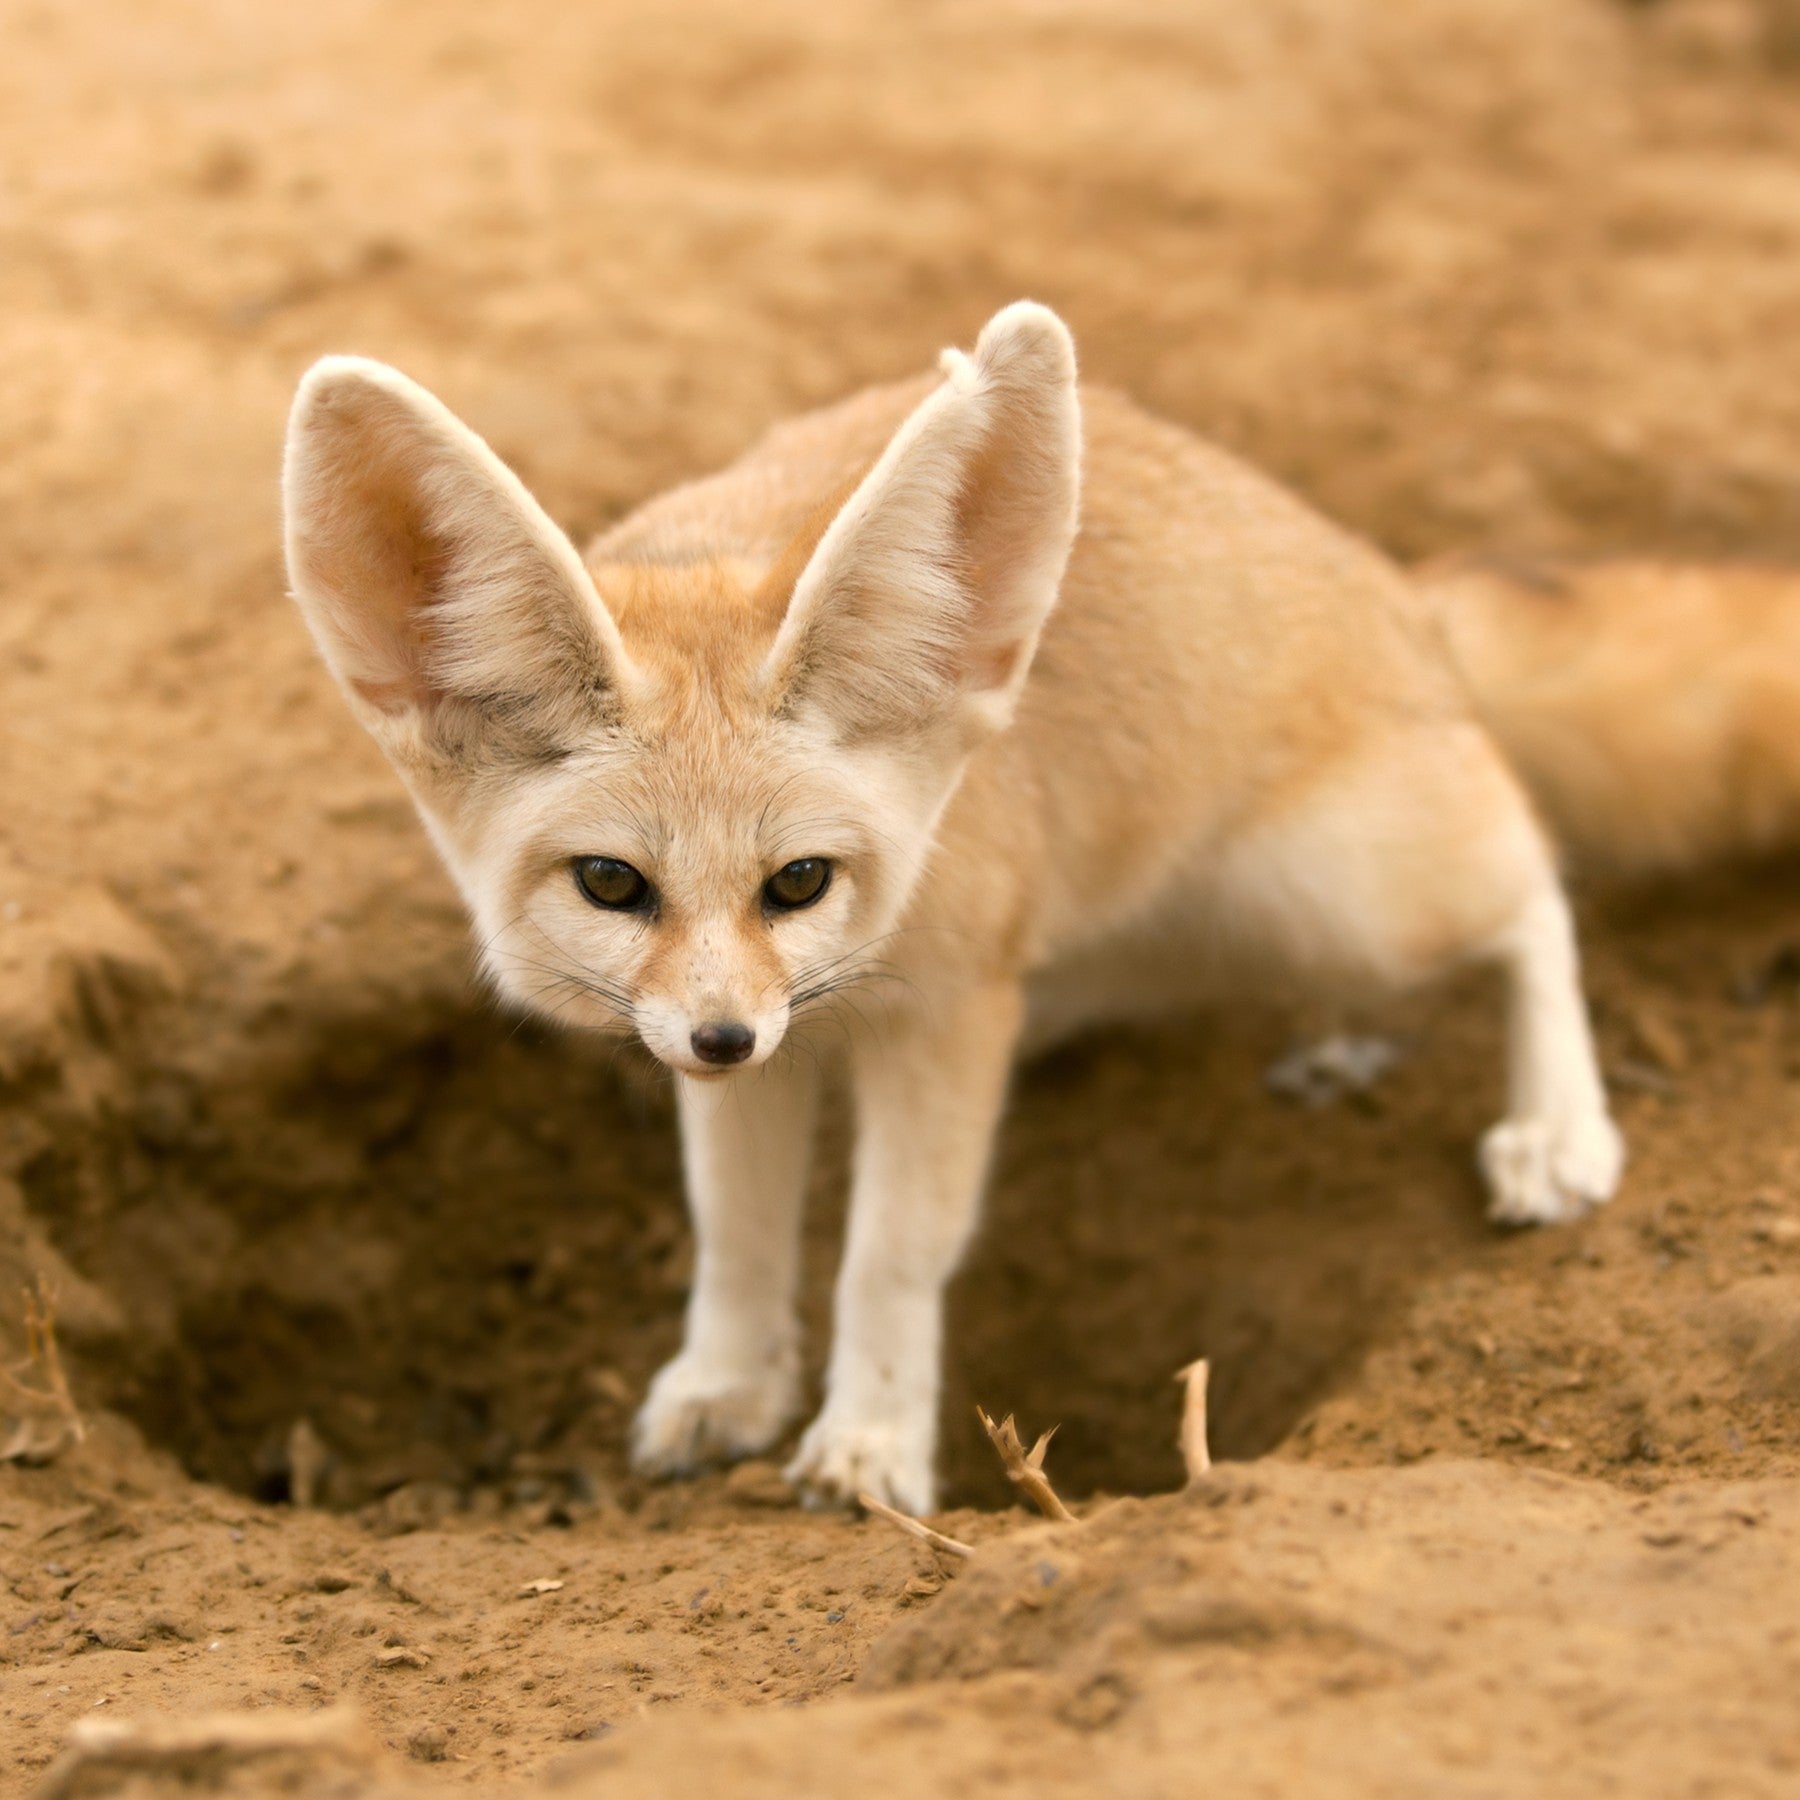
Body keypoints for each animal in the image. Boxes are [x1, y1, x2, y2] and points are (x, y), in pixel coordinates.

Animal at [280, 302, 1798, 1513]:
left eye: (799, 881)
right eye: (612, 883)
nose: (722, 1040)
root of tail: (1392, 589)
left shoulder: (947, 1015)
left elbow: (890, 1253)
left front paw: (870, 1443)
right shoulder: (757, 1046)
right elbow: (739, 1232)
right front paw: (727, 1383)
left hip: (1348, 888)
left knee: (1533, 883)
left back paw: (1557, 1125)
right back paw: (1339, 1038)